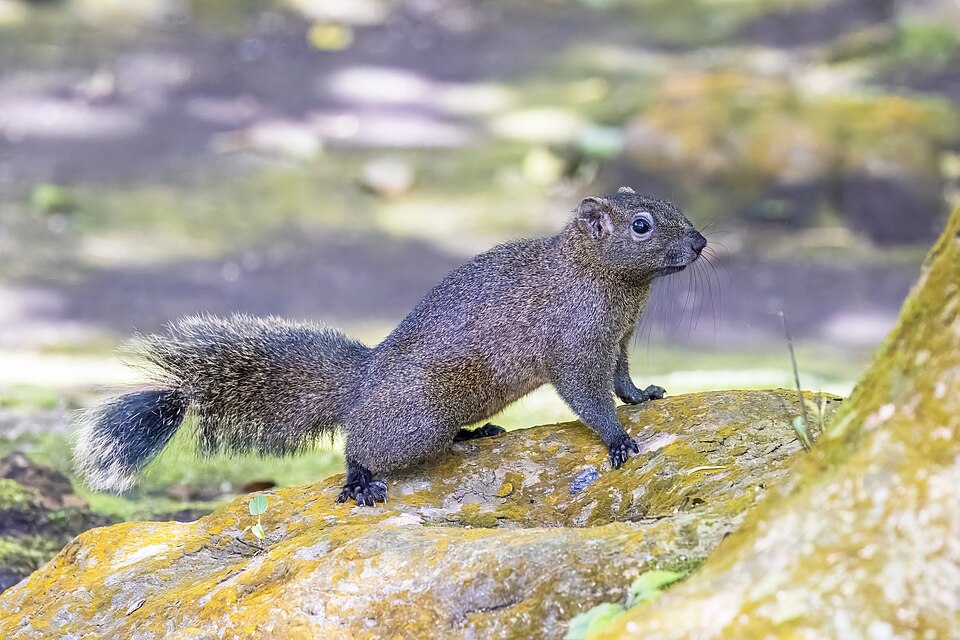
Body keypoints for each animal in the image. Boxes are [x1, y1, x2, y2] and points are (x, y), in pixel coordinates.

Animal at [74, 187, 706, 505]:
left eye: (671, 207)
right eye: (643, 225)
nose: (701, 242)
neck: (606, 282)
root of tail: (363, 382)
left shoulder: (617, 342)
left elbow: (621, 380)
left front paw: (643, 396)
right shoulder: (574, 347)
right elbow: (588, 397)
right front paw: (618, 439)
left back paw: (475, 433)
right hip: (412, 424)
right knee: (360, 444)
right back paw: (359, 481)